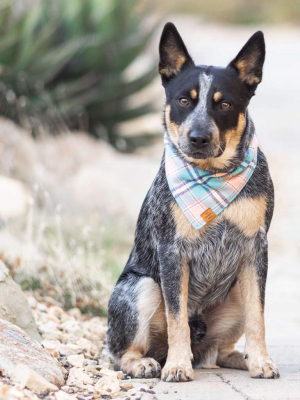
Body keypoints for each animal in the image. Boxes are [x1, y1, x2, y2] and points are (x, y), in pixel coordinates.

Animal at [106, 21, 278, 382]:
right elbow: (177, 318)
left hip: (235, 292)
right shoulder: (172, 250)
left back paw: (240, 357)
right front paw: (177, 365)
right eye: (184, 100)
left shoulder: (256, 248)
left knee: (220, 349)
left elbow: (257, 315)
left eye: (224, 104)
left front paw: (261, 360)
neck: (213, 175)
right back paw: (145, 362)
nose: (199, 138)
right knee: (119, 353)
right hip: (142, 287)